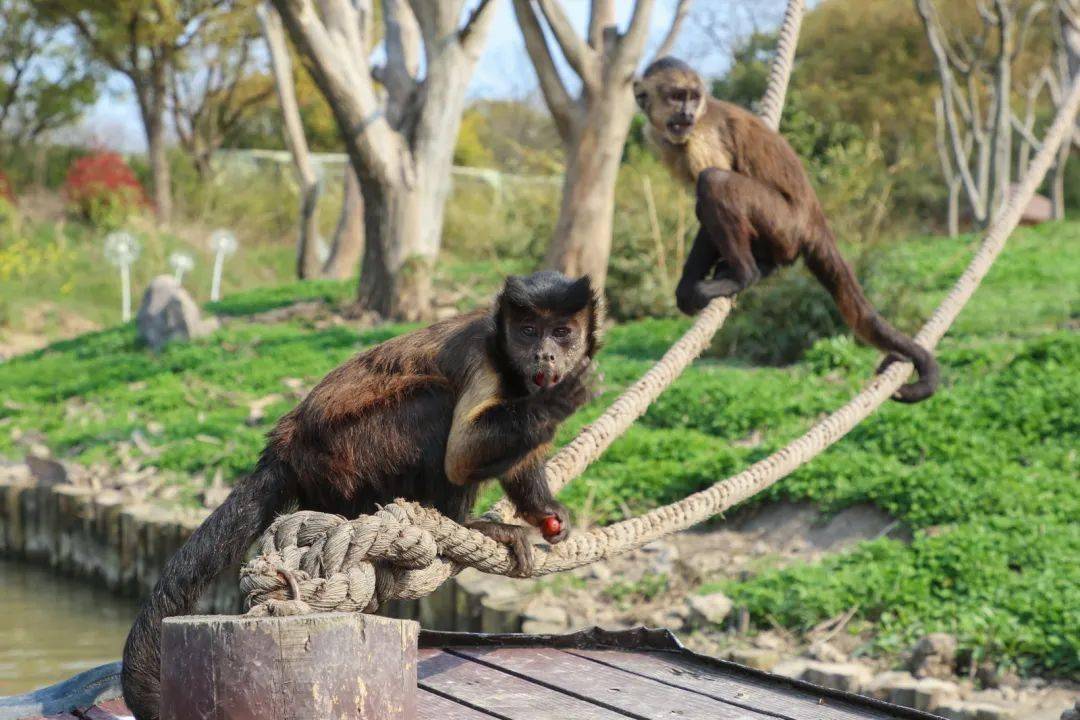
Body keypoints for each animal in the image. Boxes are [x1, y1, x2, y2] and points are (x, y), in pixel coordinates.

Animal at [124, 272, 609, 720]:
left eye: (560, 331)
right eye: (527, 330)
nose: (545, 354)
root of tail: (287, 446)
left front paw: (544, 511)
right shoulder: (486, 357)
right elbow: (460, 454)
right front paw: (558, 400)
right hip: (350, 452)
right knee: (434, 400)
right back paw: (464, 524)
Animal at [630, 57, 937, 405]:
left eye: (693, 97)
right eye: (677, 96)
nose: (687, 113)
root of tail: (814, 217)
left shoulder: (701, 138)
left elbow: (707, 200)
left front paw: (696, 285)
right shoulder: (665, 138)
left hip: (783, 221)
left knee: (714, 181)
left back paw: (745, 274)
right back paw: (765, 266)